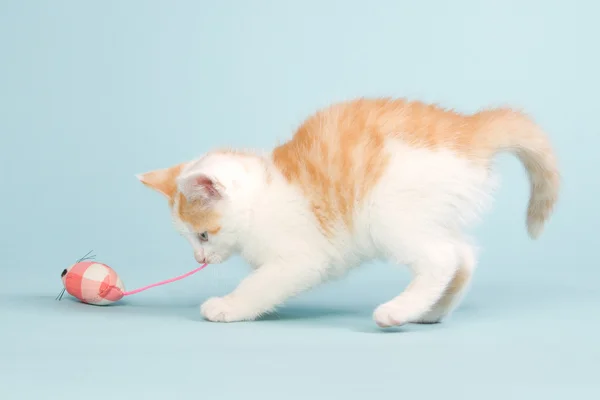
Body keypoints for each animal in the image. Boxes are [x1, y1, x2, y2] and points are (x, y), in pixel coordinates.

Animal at [136, 97, 556, 328]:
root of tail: (469, 130)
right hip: (435, 211)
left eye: (204, 235)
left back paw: (397, 311)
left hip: (389, 212)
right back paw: (431, 310)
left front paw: (229, 306)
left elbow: (260, 284)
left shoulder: (301, 257)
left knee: (441, 258)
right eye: (189, 239)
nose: (199, 258)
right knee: (464, 255)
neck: (265, 194)